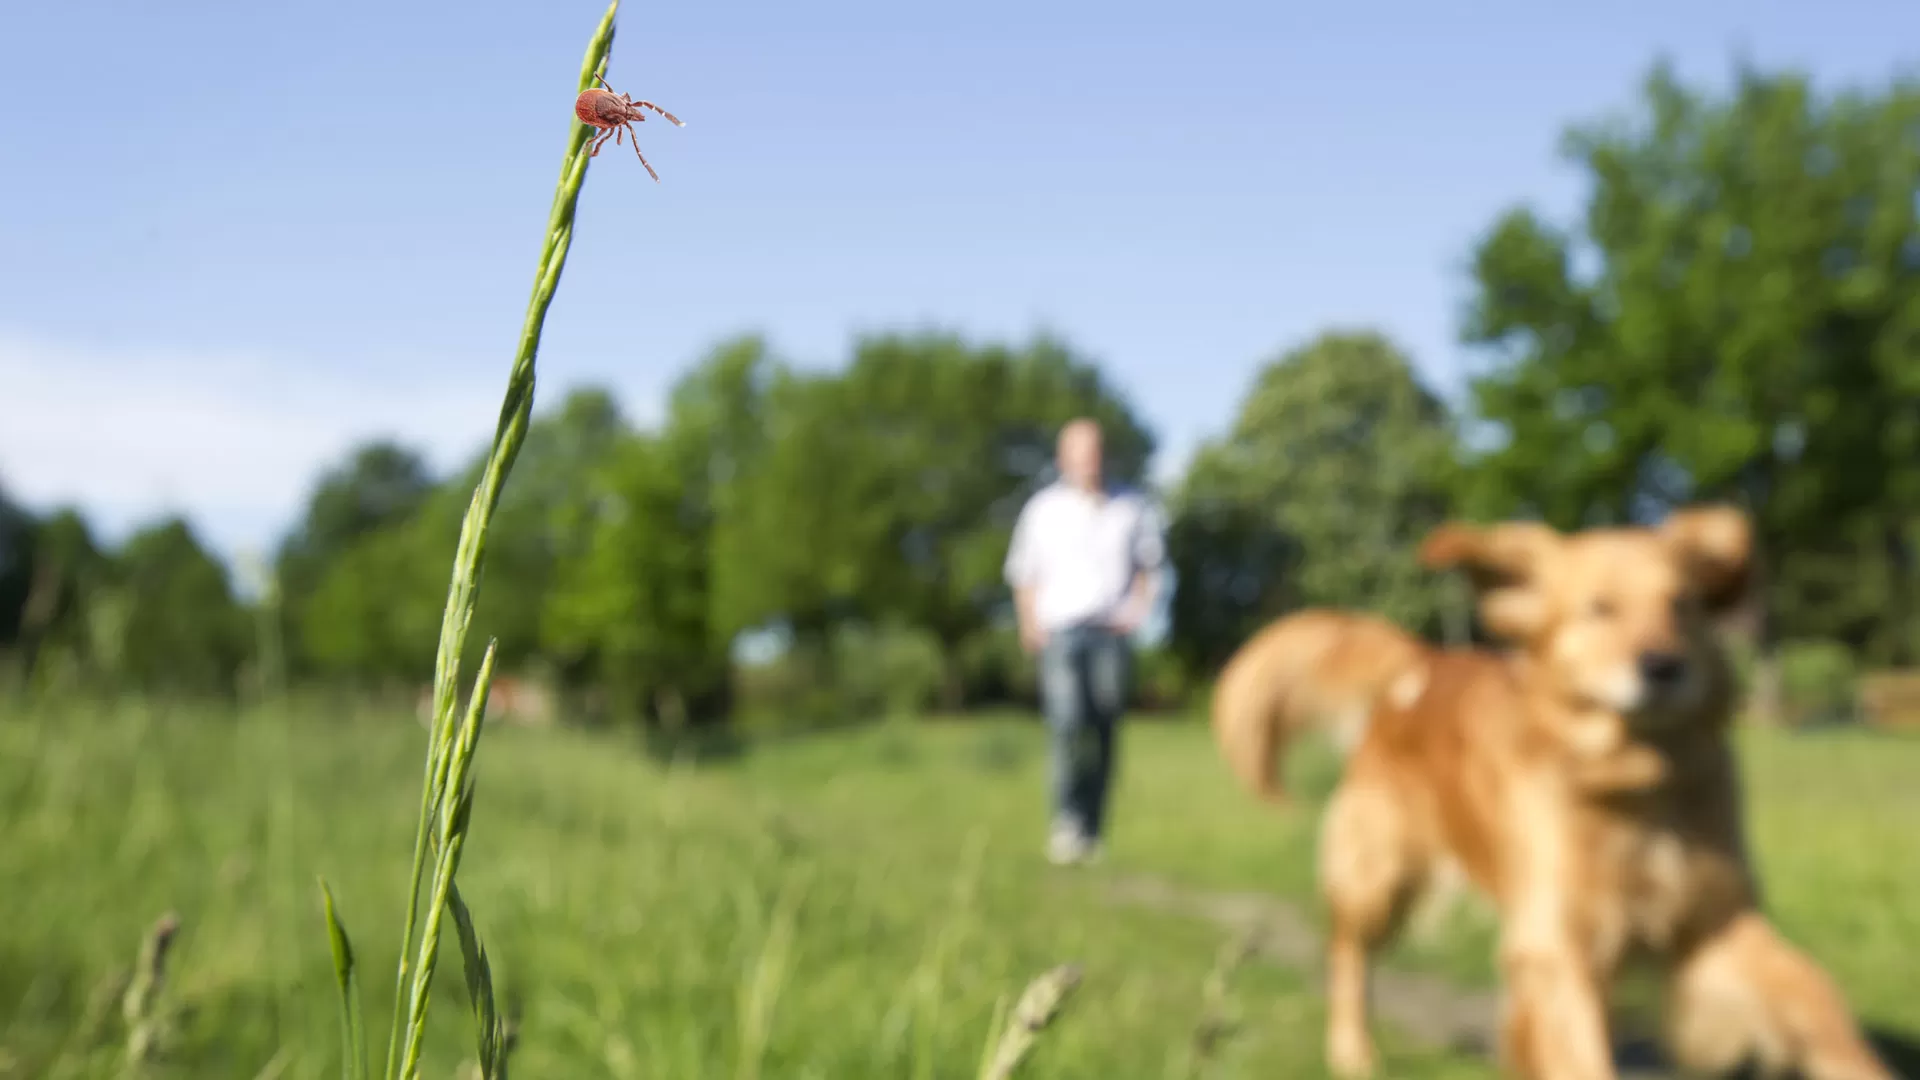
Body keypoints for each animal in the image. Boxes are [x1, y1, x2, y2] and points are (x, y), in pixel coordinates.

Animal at [1213, 507, 1889, 1076]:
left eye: (1683, 604)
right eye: (1599, 609)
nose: (1664, 667)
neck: (1633, 783)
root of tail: (1422, 664)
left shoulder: (1712, 921)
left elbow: (1814, 997)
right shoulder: (1560, 938)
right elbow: (1577, 1050)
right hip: (1378, 878)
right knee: (1349, 959)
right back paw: (1353, 1053)